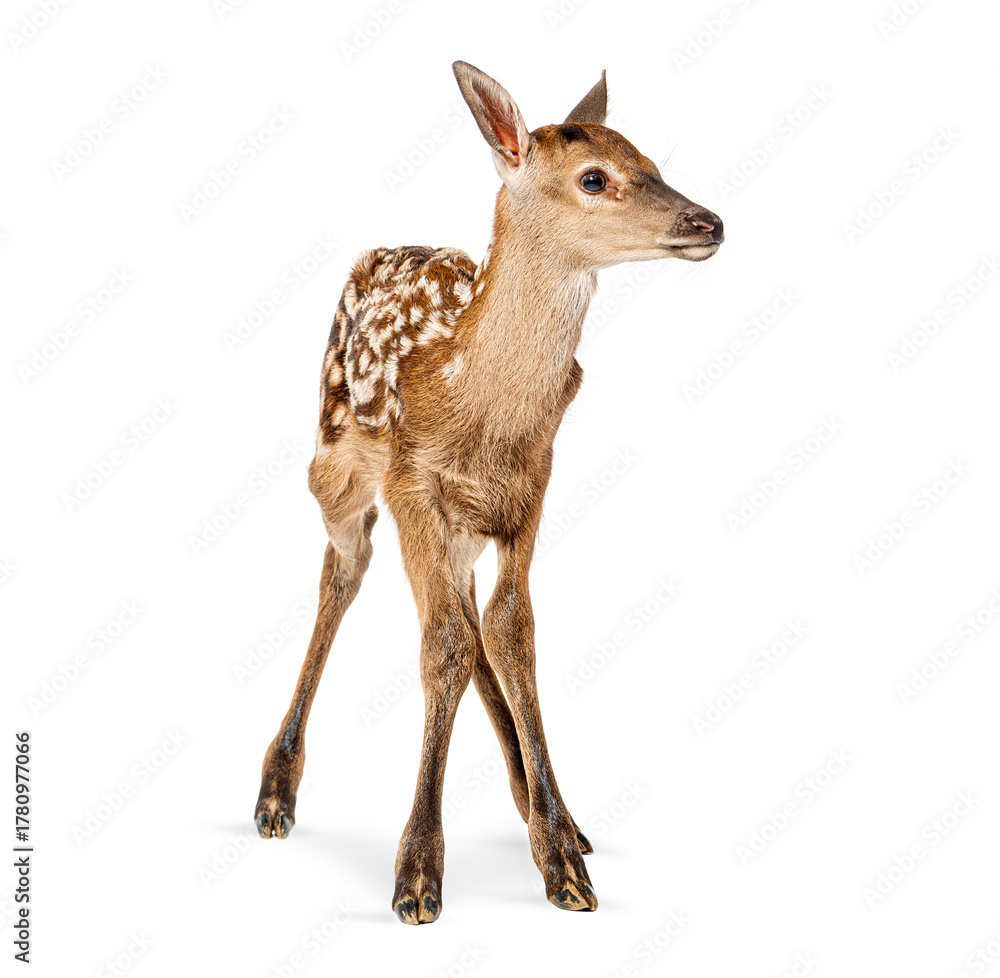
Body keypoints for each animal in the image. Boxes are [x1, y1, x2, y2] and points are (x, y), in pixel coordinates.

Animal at [253, 60, 723, 925]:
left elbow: (510, 631)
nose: (709, 222)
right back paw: (276, 790)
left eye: (650, 158)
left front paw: (561, 851)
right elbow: (441, 644)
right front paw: (417, 876)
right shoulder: (412, 483)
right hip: (334, 463)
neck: (480, 408)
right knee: (346, 571)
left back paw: (545, 809)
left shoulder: (532, 486)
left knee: (467, 615)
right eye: (595, 177)